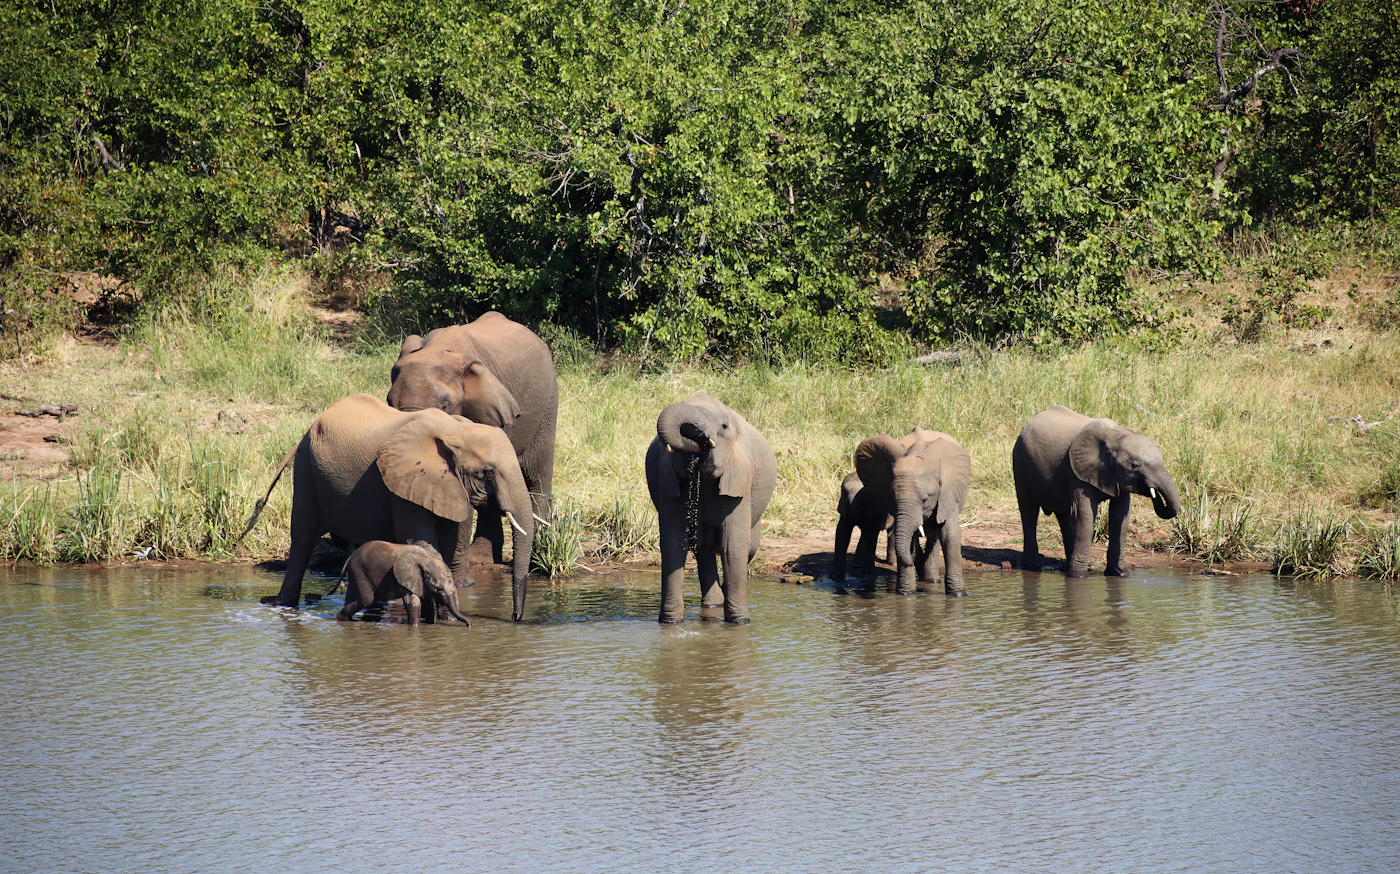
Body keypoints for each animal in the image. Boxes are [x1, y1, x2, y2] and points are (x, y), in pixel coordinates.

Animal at [334, 540, 471, 626]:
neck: (427, 559)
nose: (469, 624)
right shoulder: (405, 577)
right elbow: (413, 602)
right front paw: (414, 626)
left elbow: (427, 602)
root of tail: (349, 558)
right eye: (438, 589)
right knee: (365, 600)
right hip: (359, 572)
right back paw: (342, 620)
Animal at [645, 394, 777, 625]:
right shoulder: (668, 481)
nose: (701, 442)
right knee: (702, 550)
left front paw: (740, 622)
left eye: (723, 426)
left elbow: (732, 545)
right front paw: (670, 623)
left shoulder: (739, 477)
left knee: (748, 548)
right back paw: (713, 605)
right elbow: (673, 544)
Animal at [847, 428, 972, 595]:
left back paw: (931, 580)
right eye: (892, 498)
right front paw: (905, 594)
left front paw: (958, 595)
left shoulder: (948, 492)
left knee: (934, 537)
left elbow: (949, 536)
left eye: (925, 499)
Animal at [1012, 404, 1182, 577]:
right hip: (1019, 459)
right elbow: (1085, 514)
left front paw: (1120, 574)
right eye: (1135, 465)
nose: (1153, 491)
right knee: (1029, 511)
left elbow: (1120, 516)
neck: (1116, 436)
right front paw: (1078, 576)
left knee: (1063, 515)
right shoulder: (1076, 470)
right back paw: (1033, 565)